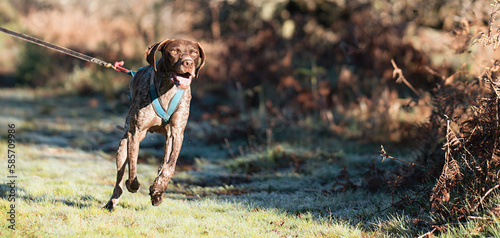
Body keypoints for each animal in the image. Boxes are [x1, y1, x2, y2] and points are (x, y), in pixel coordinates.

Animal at [104, 39, 206, 210]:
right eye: (174, 51)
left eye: (194, 53)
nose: (188, 63)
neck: (167, 88)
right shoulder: (135, 133)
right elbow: (133, 166)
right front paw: (133, 184)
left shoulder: (177, 133)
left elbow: (170, 167)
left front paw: (158, 189)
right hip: (123, 145)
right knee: (119, 180)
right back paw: (112, 202)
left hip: (168, 139)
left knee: (163, 164)